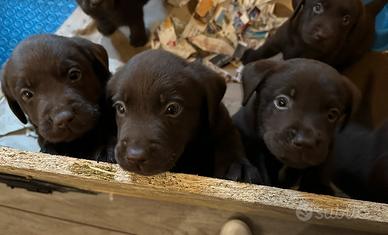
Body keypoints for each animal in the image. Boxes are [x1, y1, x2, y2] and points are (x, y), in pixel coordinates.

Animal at [107, 49, 260, 182]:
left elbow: (230, 140)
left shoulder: (223, 122)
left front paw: (237, 165)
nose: (135, 157)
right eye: (120, 108)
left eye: (173, 109)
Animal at [241, 0, 386, 69]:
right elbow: (263, 50)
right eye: (317, 7)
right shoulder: (277, 39)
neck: (301, 42)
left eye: (346, 19)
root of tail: (370, 11)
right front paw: (248, 57)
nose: (322, 35)